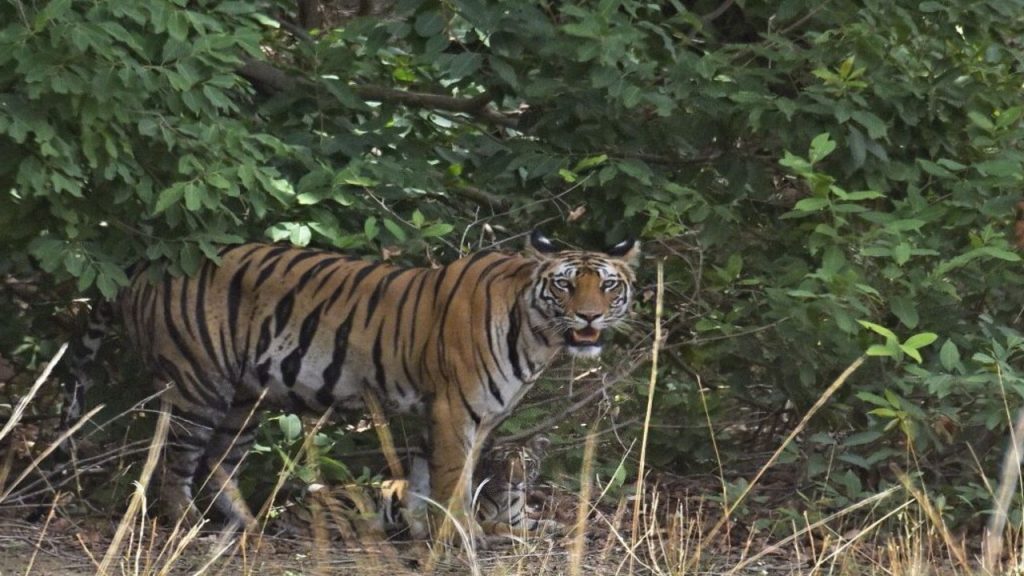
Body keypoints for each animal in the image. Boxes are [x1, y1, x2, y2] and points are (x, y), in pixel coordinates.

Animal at [61, 228, 638, 532]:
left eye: (608, 285)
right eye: (565, 285)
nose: (588, 317)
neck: (537, 336)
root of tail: (145, 266)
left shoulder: (448, 414)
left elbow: (424, 482)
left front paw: (425, 534)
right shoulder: (456, 410)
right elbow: (454, 482)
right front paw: (462, 538)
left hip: (245, 398)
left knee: (219, 462)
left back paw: (247, 527)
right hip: (200, 385)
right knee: (174, 465)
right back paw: (190, 527)